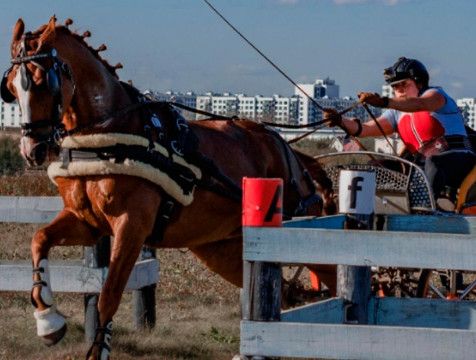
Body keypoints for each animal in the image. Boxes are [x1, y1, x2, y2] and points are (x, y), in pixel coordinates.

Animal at [0, 17, 334, 360]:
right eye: (11, 87)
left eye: (44, 81)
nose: (32, 149)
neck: (109, 136)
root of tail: (290, 153)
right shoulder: (88, 223)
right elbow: (39, 240)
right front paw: (48, 321)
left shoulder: (132, 226)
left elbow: (109, 294)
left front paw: (98, 349)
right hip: (224, 250)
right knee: (279, 297)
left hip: (303, 238)